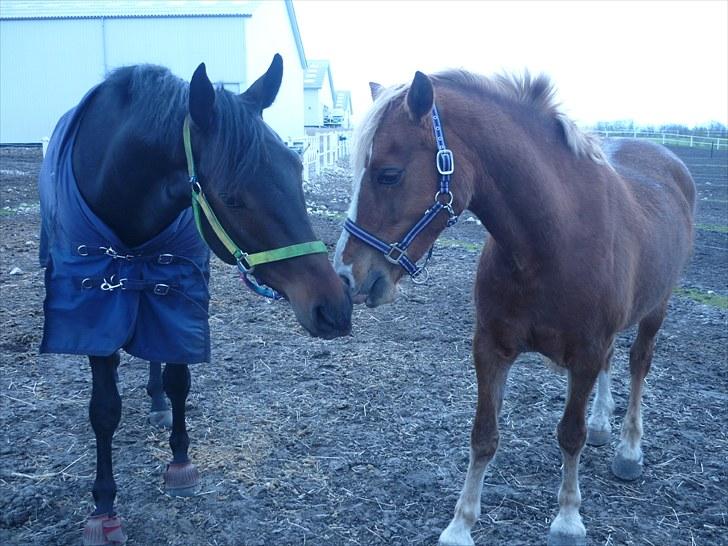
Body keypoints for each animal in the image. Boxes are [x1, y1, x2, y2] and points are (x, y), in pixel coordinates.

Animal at [38, 54, 352, 544]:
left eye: (296, 170)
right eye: (233, 199)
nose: (335, 307)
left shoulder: (179, 290)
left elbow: (178, 379)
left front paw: (180, 461)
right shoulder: (93, 306)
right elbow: (104, 409)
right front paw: (103, 506)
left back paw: (156, 404)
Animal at [334, 70, 695, 545]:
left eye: (388, 175)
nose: (345, 274)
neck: (552, 242)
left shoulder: (584, 353)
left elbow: (570, 435)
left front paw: (567, 519)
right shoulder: (491, 347)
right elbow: (484, 435)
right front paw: (460, 524)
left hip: (656, 311)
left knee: (638, 364)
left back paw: (628, 449)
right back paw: (604, 424)